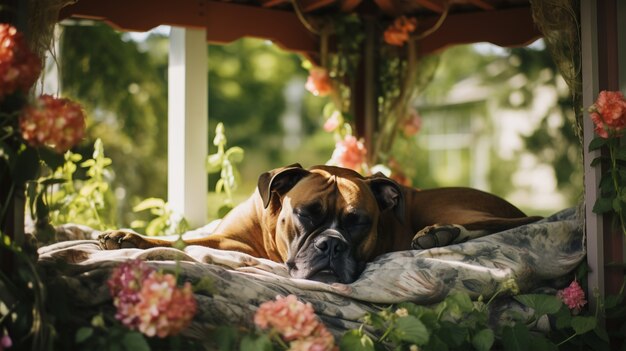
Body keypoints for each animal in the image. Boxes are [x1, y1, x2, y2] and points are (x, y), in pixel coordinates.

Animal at [100, 164, 540, 284]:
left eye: (358, 222)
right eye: (307, 214)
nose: (331, 244)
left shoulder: (232, 246)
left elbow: (184, 242)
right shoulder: (226, 237)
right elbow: (182, 236)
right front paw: (125, 235)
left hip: (444, 206)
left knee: (517, 221)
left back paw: (439, 234)